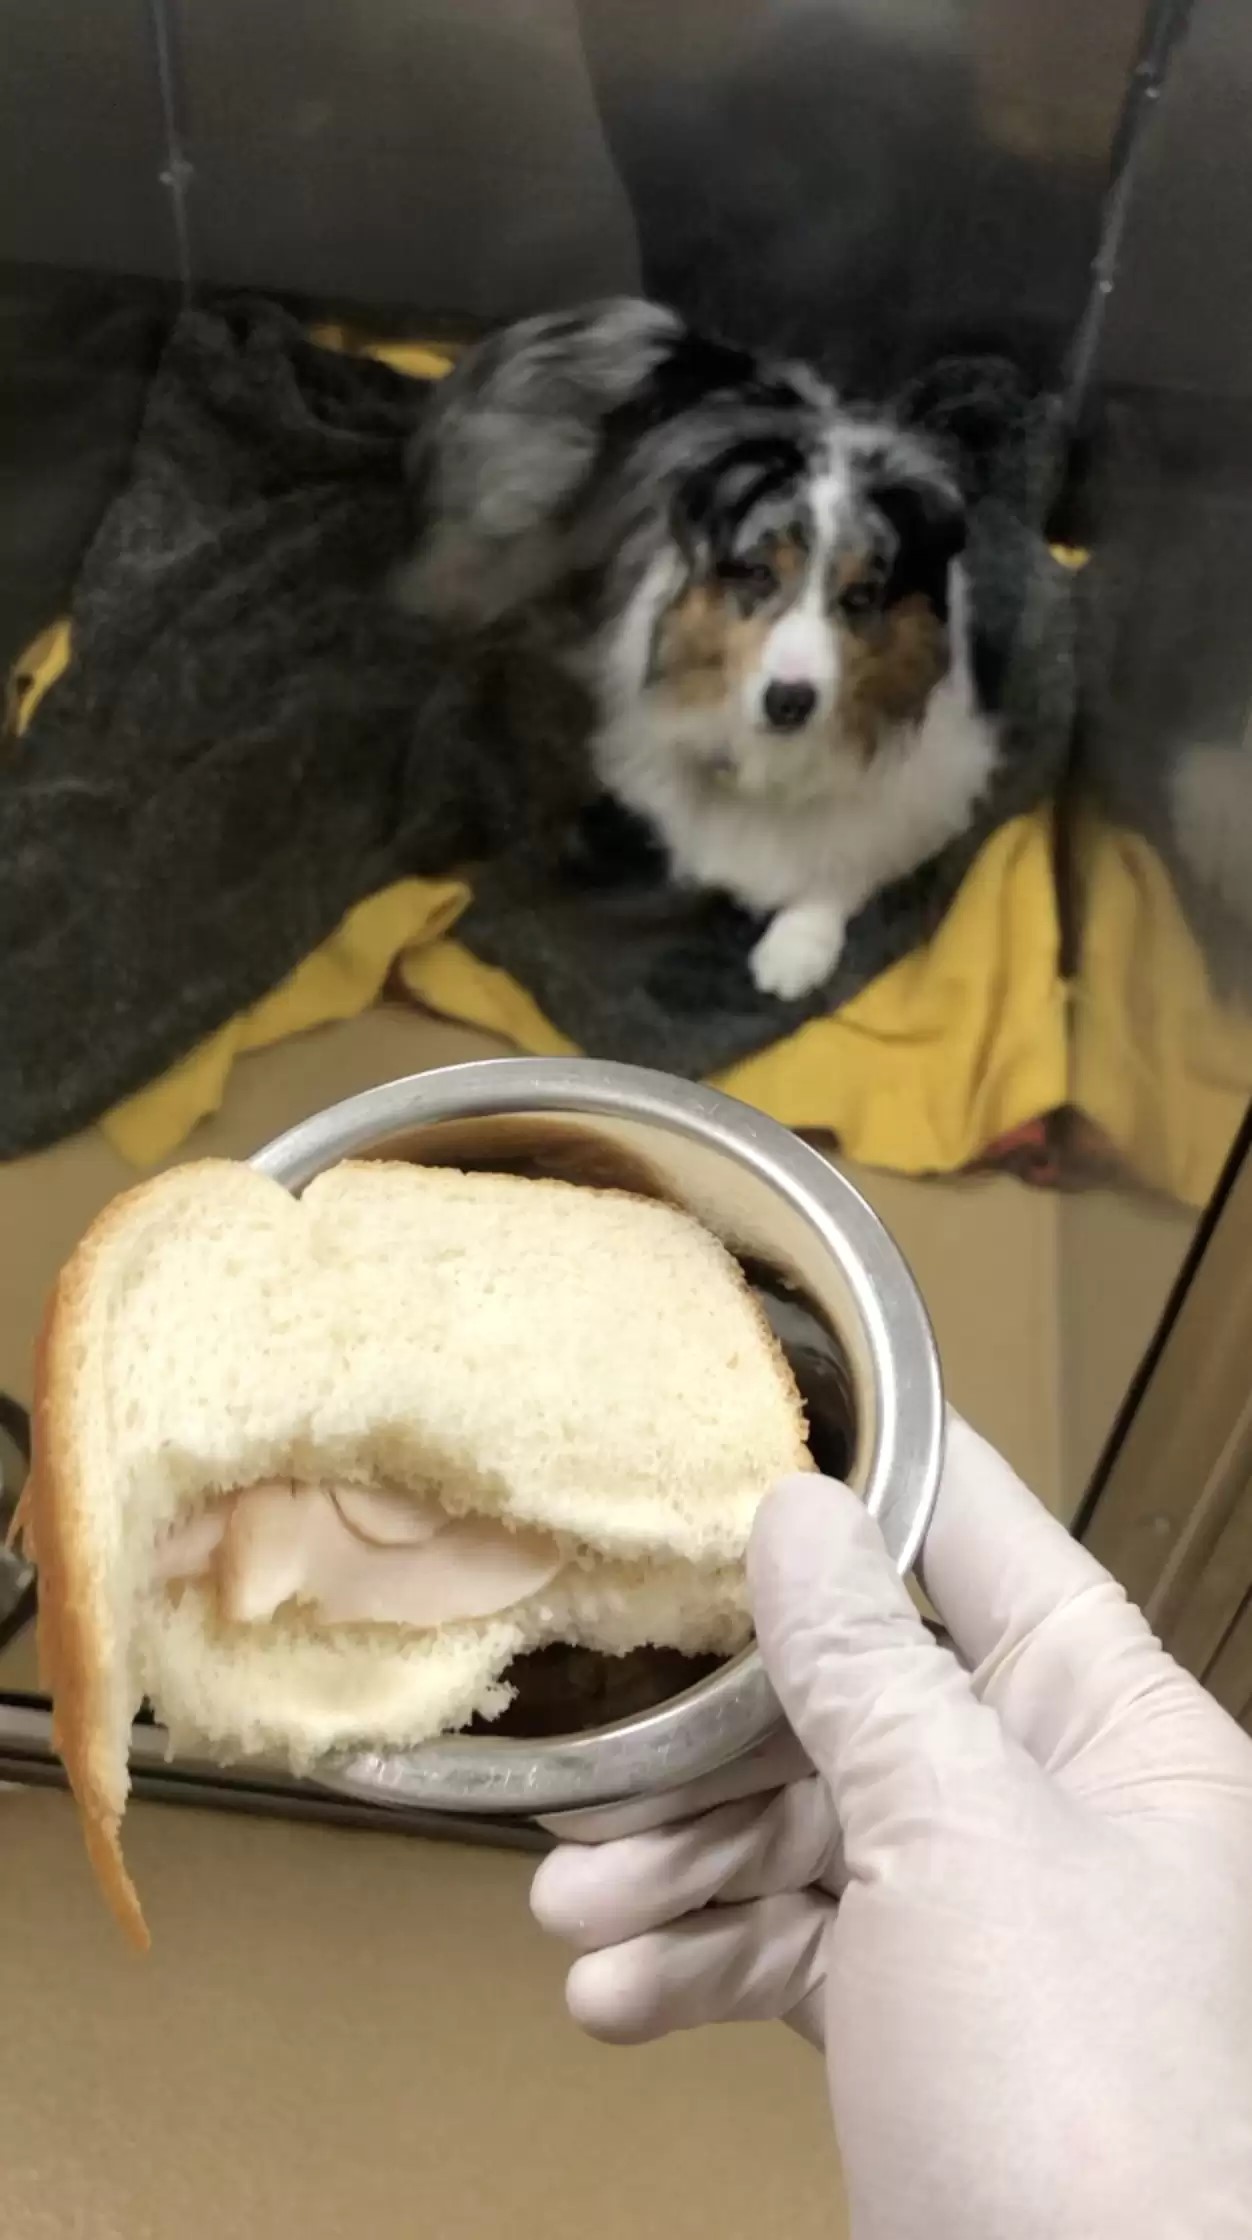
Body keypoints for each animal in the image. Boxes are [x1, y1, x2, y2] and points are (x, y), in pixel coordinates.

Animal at [400, 302, 998, 1003]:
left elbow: (855, 852)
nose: (789, 702)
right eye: (758, 573)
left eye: (861, 597)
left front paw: (798, 945)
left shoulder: (938, 776)